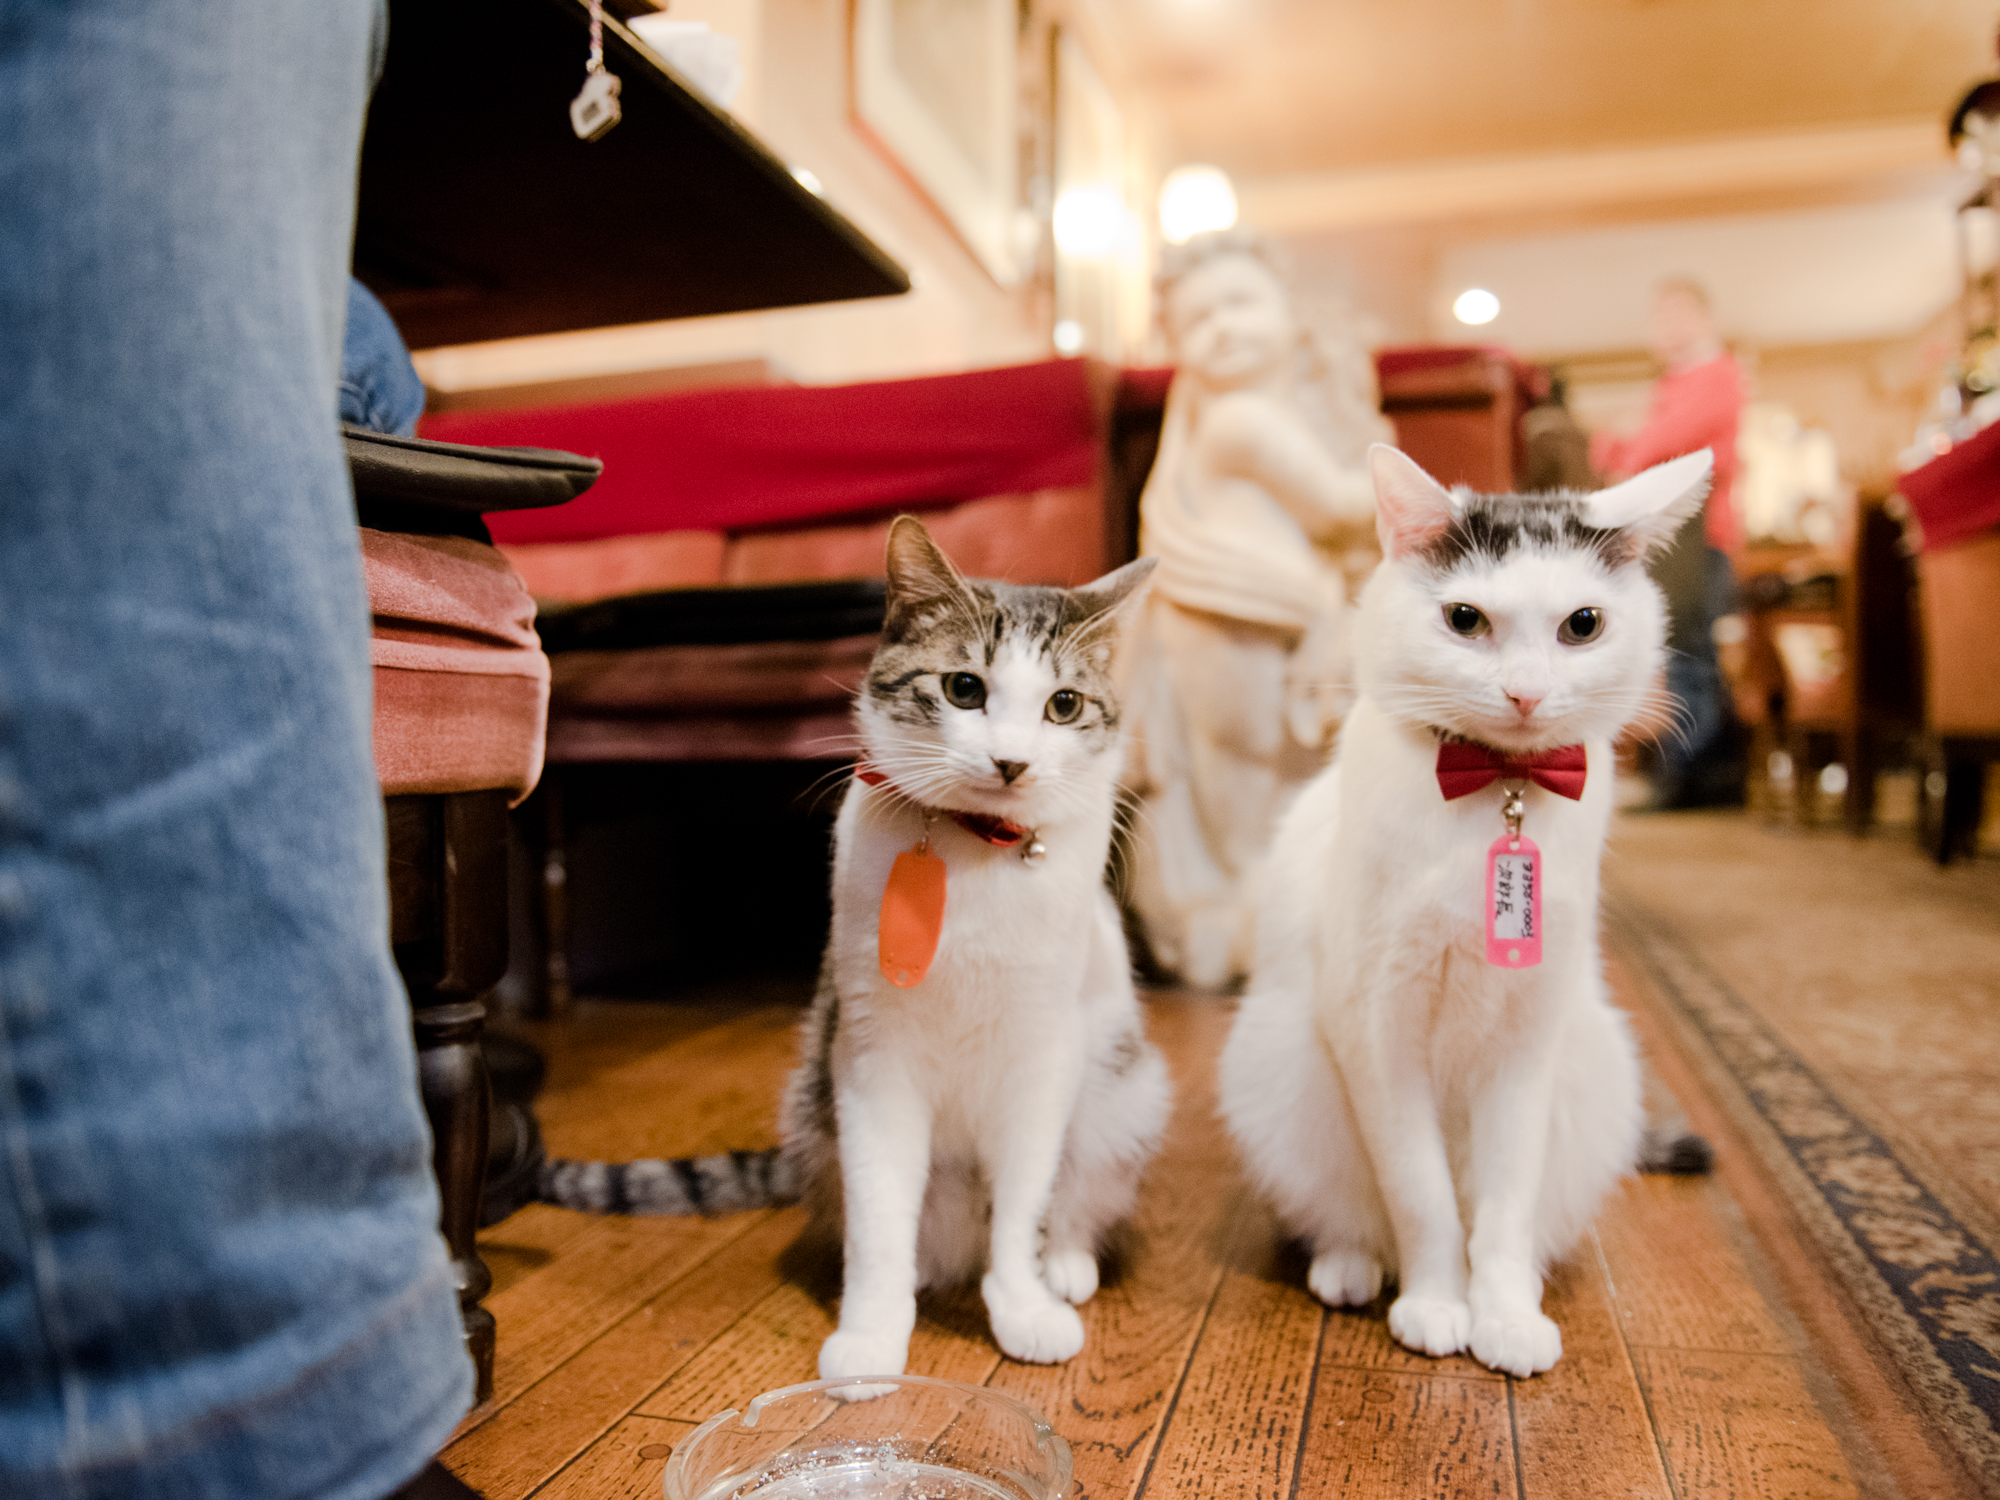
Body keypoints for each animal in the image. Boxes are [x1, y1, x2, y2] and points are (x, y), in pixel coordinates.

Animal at [780, 520, 1176, 1384]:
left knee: (1074, 1198)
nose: (1012, 762)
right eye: (964, 689)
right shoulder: (872, 1056)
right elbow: (879, 1214)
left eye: (1064, 704)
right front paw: (871, 1337)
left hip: (1123, 1090)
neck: (973, 854)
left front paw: (1024, 1305)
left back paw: (1065, 1264)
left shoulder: (1042, 1055)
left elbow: (1024, 1201)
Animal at [1208, 444, 1712, 1376]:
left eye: (1583, 624)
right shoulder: (1377, 1029)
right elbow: (1422, 1198)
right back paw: (1352, 1268)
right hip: (1278, 1071)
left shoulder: (1529, 1043)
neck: (1498, 789)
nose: (1524, 692)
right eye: (1466, 619)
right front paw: (1438, 1302)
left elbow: (1505, 1207)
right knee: (1348, 1216)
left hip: (1595, 1065)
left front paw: (1504, 1314)